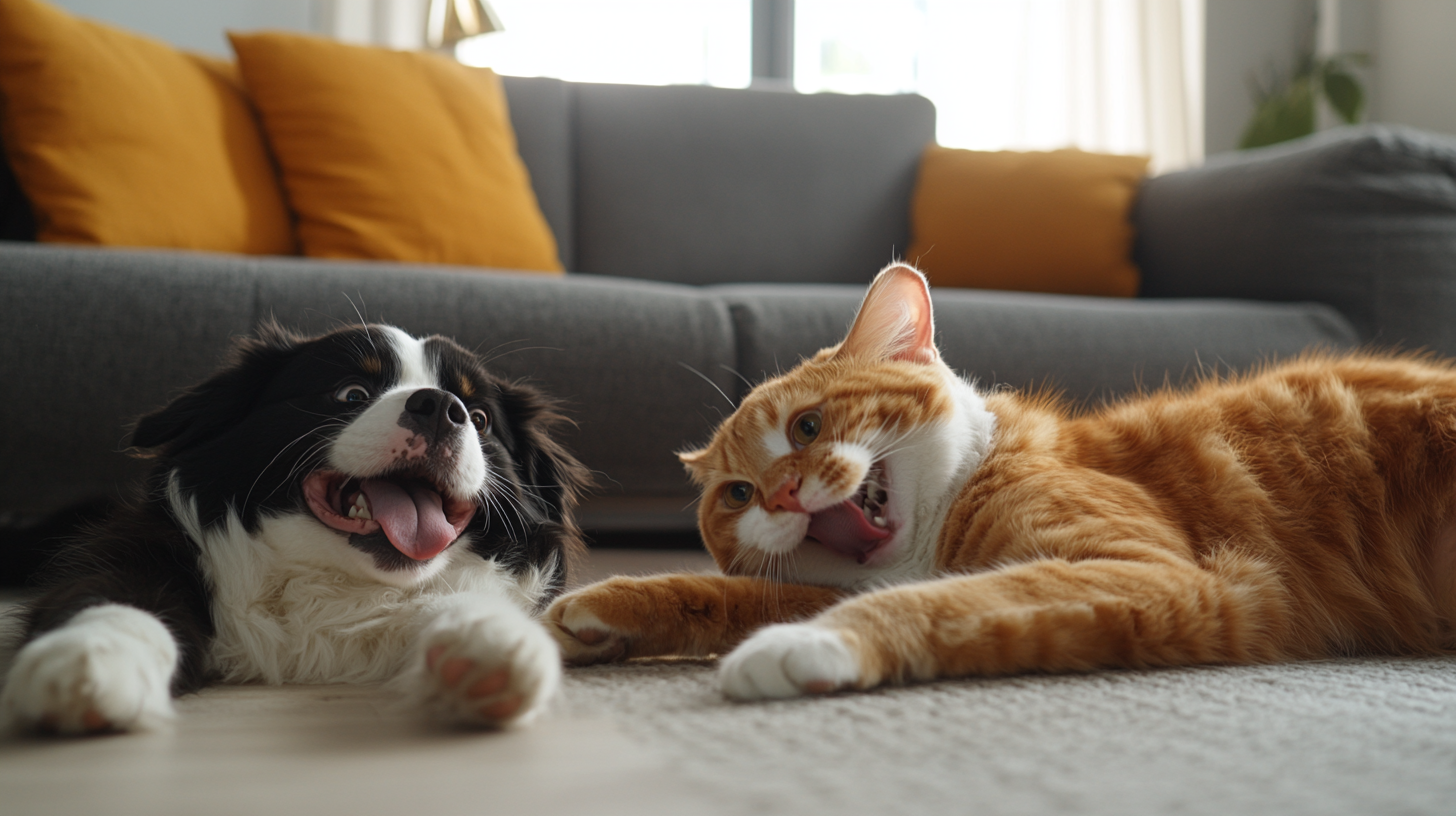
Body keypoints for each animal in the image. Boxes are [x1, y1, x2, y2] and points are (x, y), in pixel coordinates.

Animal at [2, 320, 591, 734]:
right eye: (351, 394)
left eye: (480, 417)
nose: (444, 407)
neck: (334, 583)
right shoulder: (137, 551)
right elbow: (118, 603)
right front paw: (86, 663)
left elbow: (460, 599)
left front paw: (490, 644)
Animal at [547, 265, 1456, 699]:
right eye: (735, 495)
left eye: (806, 428)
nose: (778, 496)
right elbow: (738, 594)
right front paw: (599, 611)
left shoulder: (1155, 572)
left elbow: (946, 601)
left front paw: (802, 646)